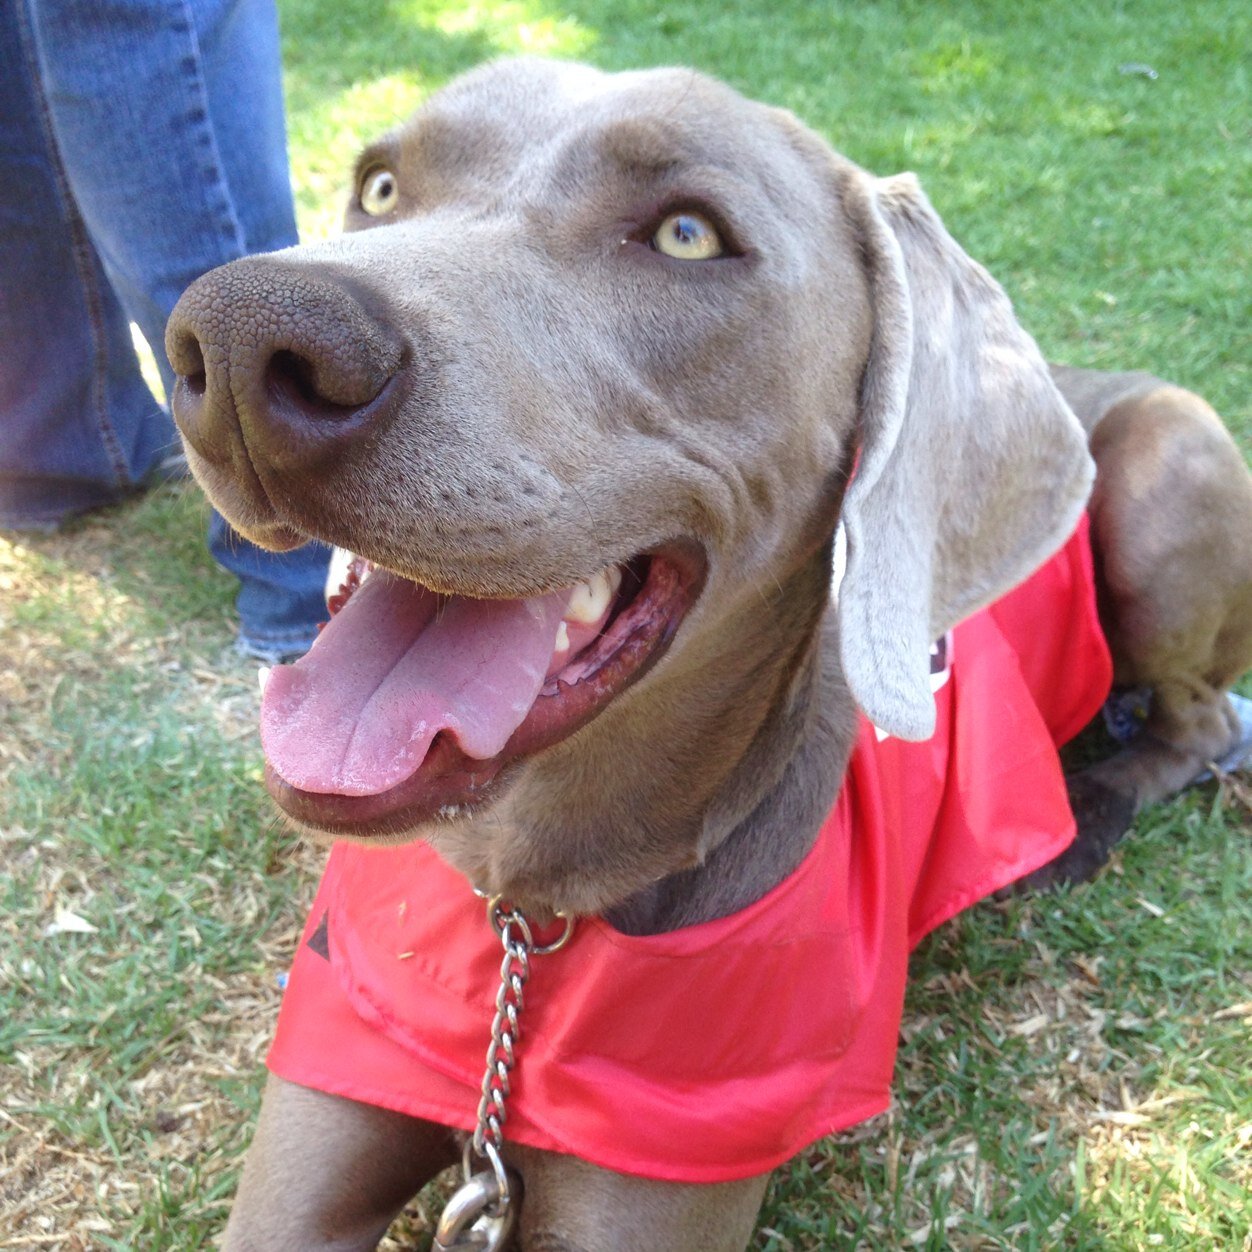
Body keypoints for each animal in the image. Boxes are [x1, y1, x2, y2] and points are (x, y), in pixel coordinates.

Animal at [164, 53, 1252, 1246]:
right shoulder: (328, 1100)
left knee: (1200, 723)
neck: (527, 918)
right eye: (379, 187)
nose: (240, 334)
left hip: (1166, 467)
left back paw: (1091, 810)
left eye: (687, 234)